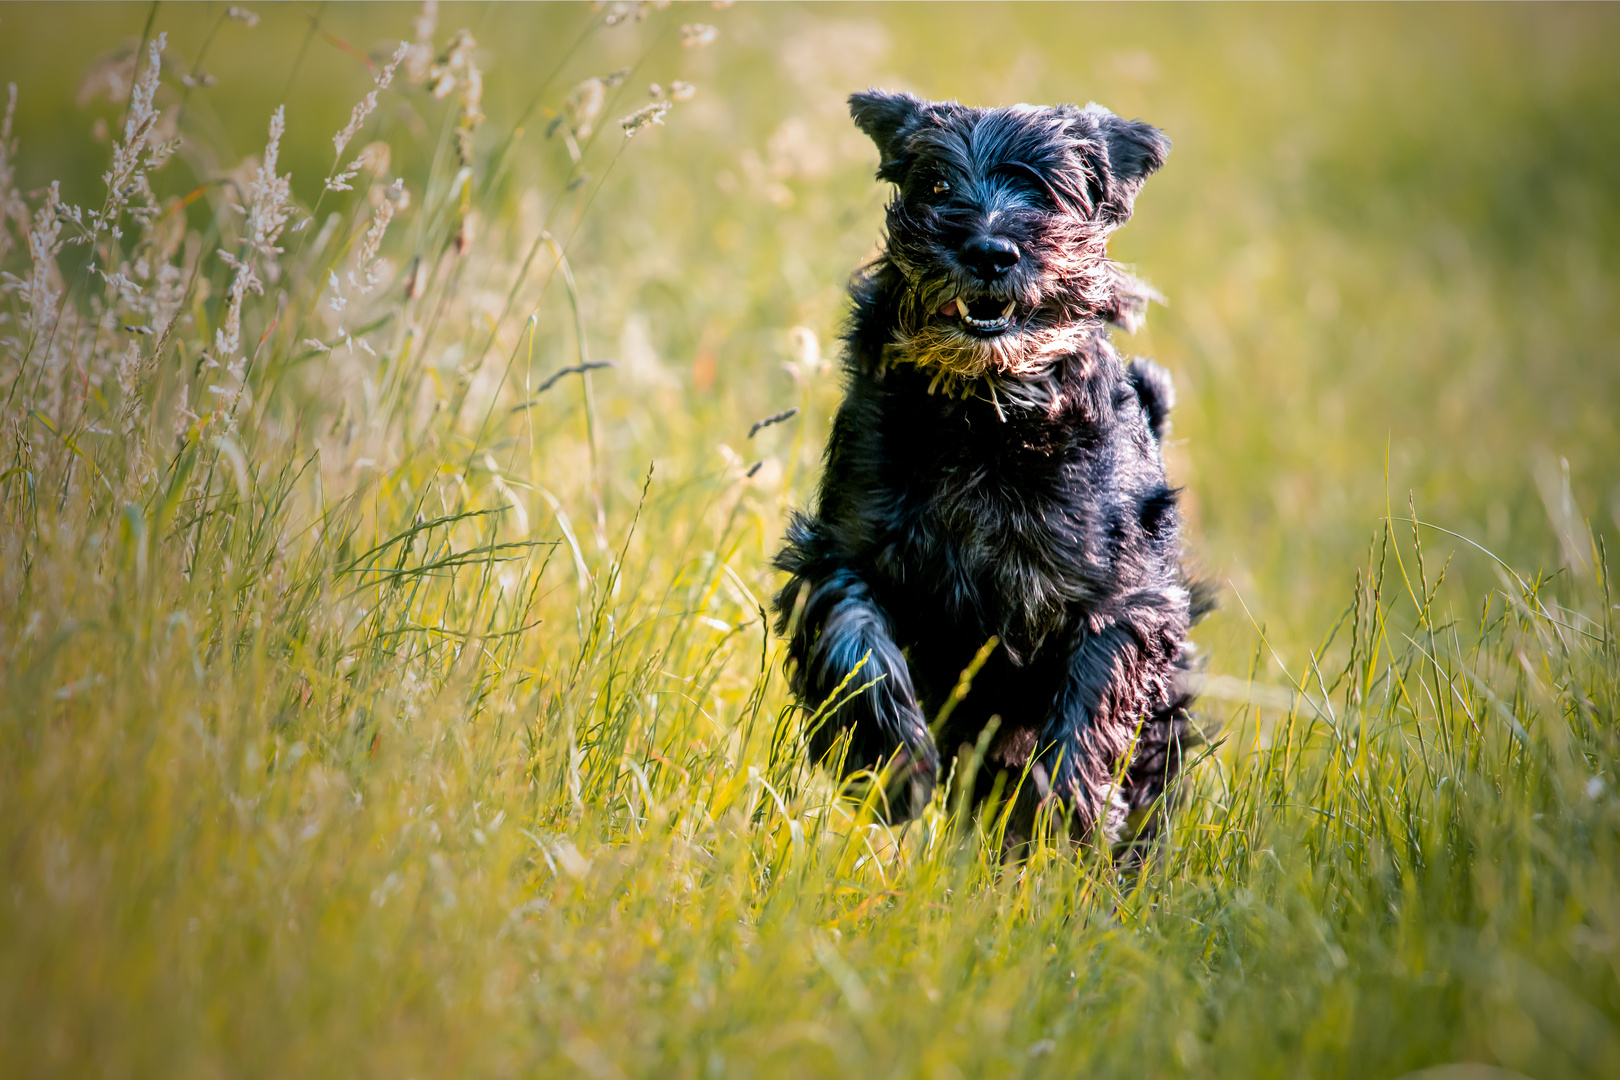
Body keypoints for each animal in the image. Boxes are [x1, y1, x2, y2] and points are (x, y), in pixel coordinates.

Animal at [767, 90, 1205, 854]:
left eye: (1051, 189)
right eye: (937, 183)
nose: (989, 252)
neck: (987, 412)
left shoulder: (1123, 601)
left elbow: (1091, 703)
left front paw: (1068, 814)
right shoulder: (840, 553)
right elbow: (856, 641)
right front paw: (892, 764)